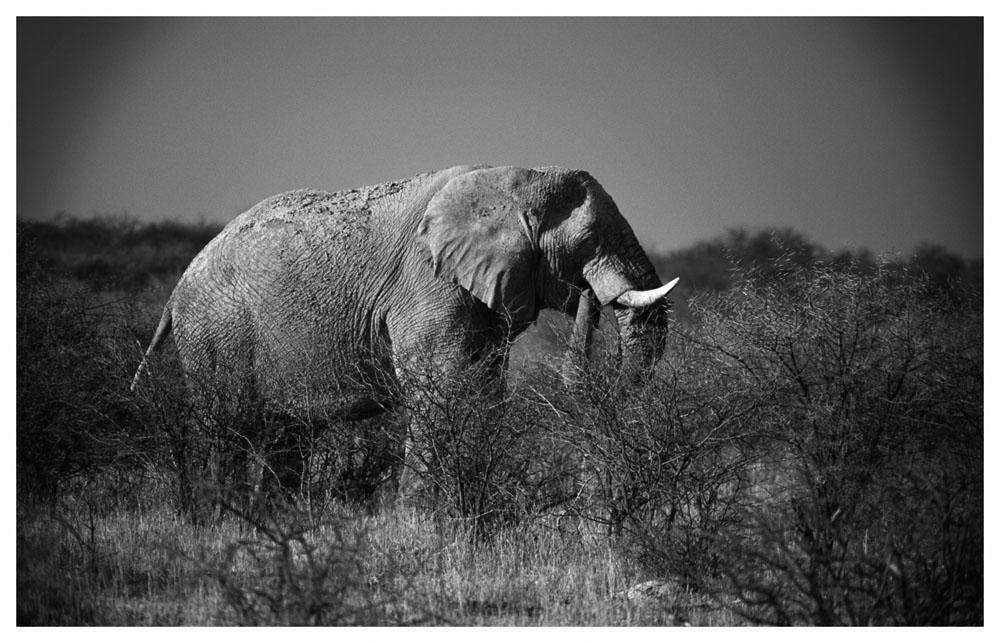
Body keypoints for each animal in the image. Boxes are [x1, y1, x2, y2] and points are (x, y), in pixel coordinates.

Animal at [129, 165, 680, 504]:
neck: (511, 179)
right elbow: (443, 389)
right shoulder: (426, 280)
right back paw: (221, 519)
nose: (590, 297)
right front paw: (421, 519)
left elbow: (484, 392)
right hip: (215, 328)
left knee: (288, 432)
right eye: (587, 241)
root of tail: (177, 289)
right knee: (225, 424)